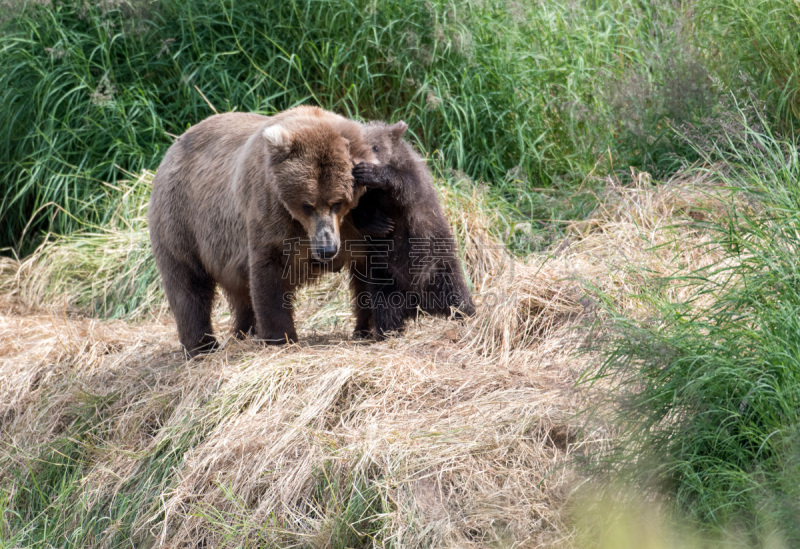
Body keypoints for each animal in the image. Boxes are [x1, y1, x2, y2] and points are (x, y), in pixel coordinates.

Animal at [148, 107, 376, 356]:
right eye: (307, 205)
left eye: (338, 202)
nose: (327, 249)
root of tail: (171, 149)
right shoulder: (270, 212)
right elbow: (269, 271)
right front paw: (280, 337)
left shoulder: (357, 222)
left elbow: (370, 270)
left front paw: (367, 328)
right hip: (182, 219)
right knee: (187, 283)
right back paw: (202, 346)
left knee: (239, 291)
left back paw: (243, 332)